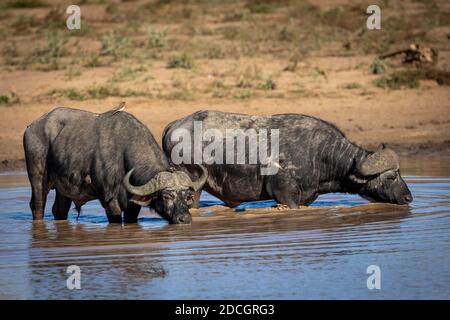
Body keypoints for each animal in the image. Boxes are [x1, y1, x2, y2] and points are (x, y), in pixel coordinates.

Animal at [22, 106, 207, 224]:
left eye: (187, 196)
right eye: (167, 196)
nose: (185, 219)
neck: (123, 155)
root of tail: (31, 127)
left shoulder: (133, 205)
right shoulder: (109, 200)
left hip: (64, 188)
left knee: (59, 210)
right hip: (37, 177)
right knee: (37, 205)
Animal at [163, 111, 414, 209]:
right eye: (391, 177)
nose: (408, 197)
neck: (320, 154)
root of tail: (175, 125)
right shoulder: (285, 195)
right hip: (193, 187)